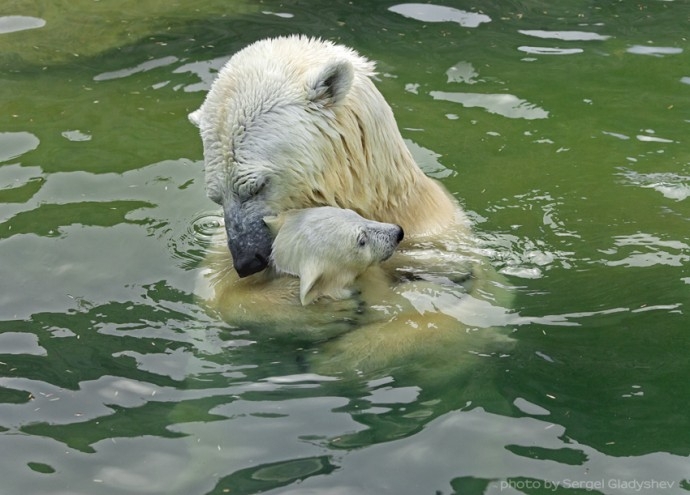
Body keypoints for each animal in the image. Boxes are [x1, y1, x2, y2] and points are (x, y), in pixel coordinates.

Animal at [188, 34, 510, 376]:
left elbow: (473, 311)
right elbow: (215, 297)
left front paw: (342, 352)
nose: (247, 261)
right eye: (216, 195)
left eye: (256, 186)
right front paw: (318, 311)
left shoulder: (440, 237)